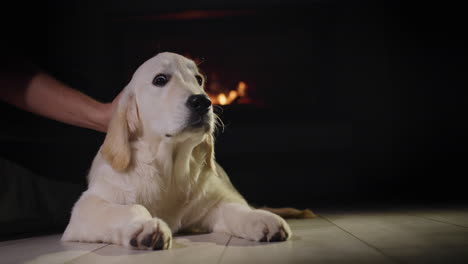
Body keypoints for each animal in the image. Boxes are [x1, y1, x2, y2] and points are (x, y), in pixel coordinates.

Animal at [63, 52, 304, 251]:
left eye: (199, 80)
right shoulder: (87, 207)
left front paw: (259, 218)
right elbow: (130, 208)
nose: (203, 102)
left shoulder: (215, 202)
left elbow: (236, 208)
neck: (169, 166)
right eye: (160, 80)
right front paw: (144, 225)